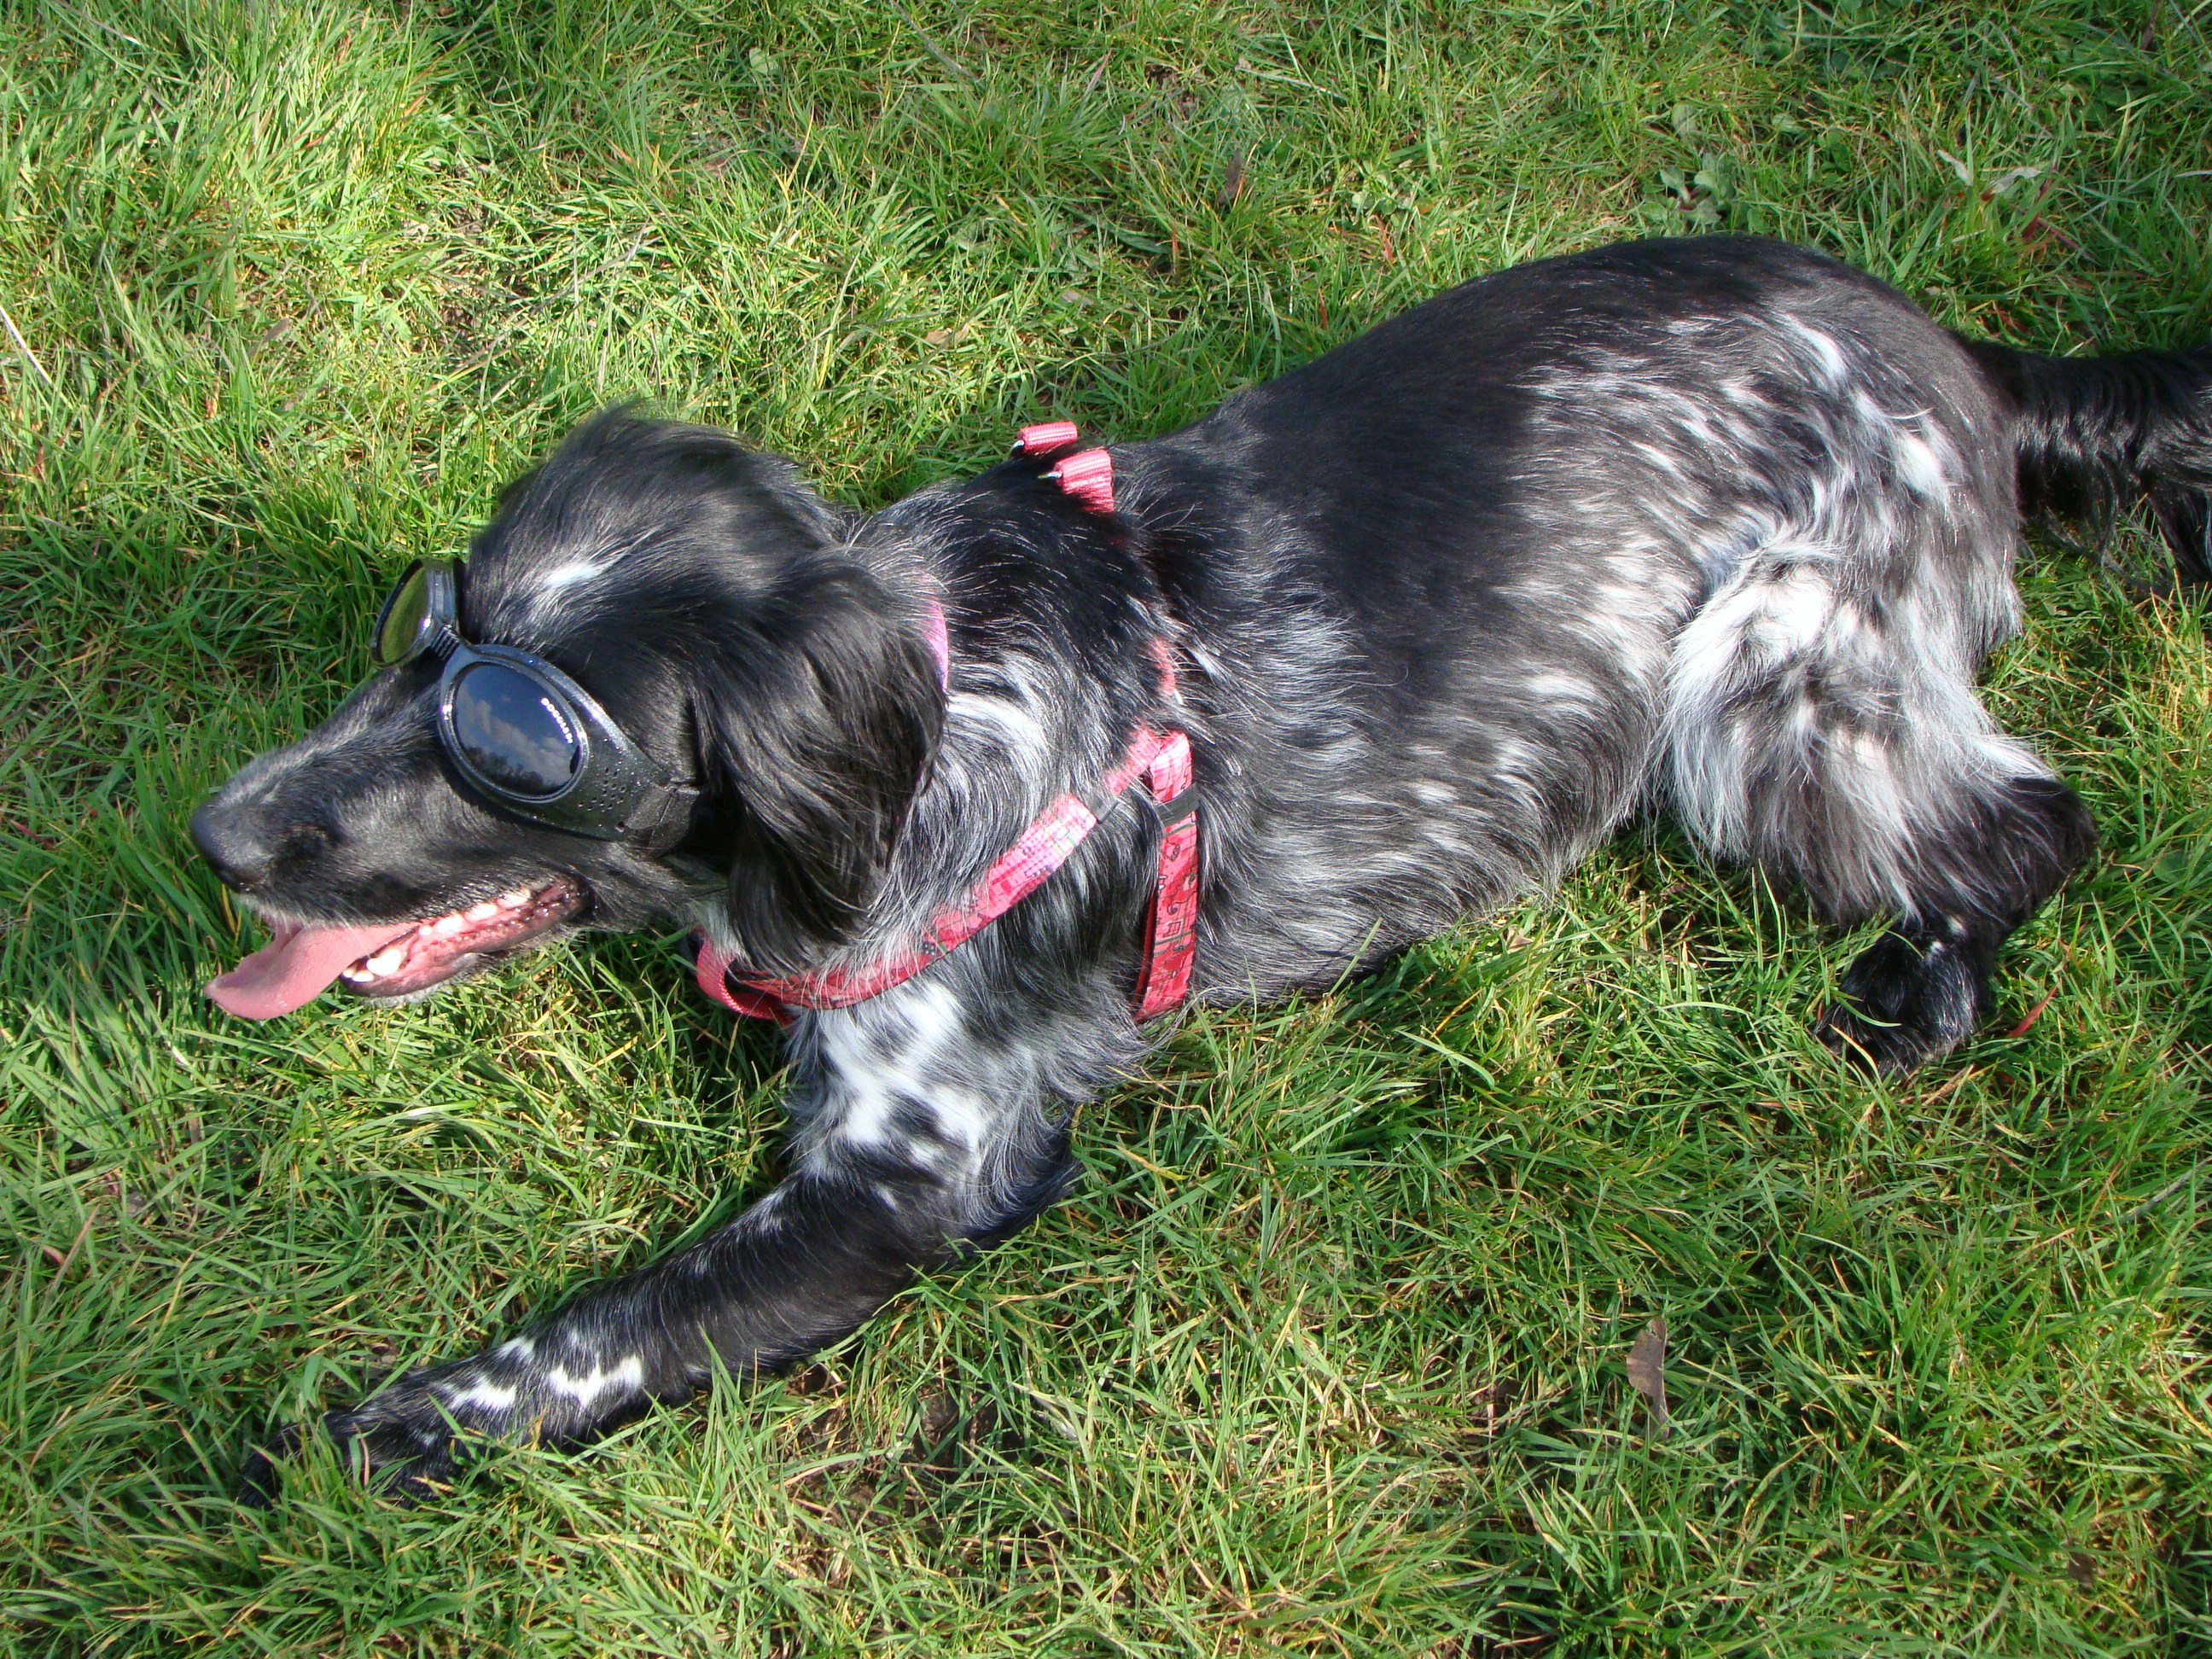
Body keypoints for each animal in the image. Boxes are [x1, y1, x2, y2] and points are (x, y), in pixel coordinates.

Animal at [195, 234, 2212, 1495]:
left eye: (521, 741)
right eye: (424, 636)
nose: (219, 832)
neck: (942, 714)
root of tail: (1961, 357)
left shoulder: (908, 1177)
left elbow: (594, 1333)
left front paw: (367, 1432)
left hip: (1769, 693)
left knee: (2035, 820)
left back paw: (1927, 984)